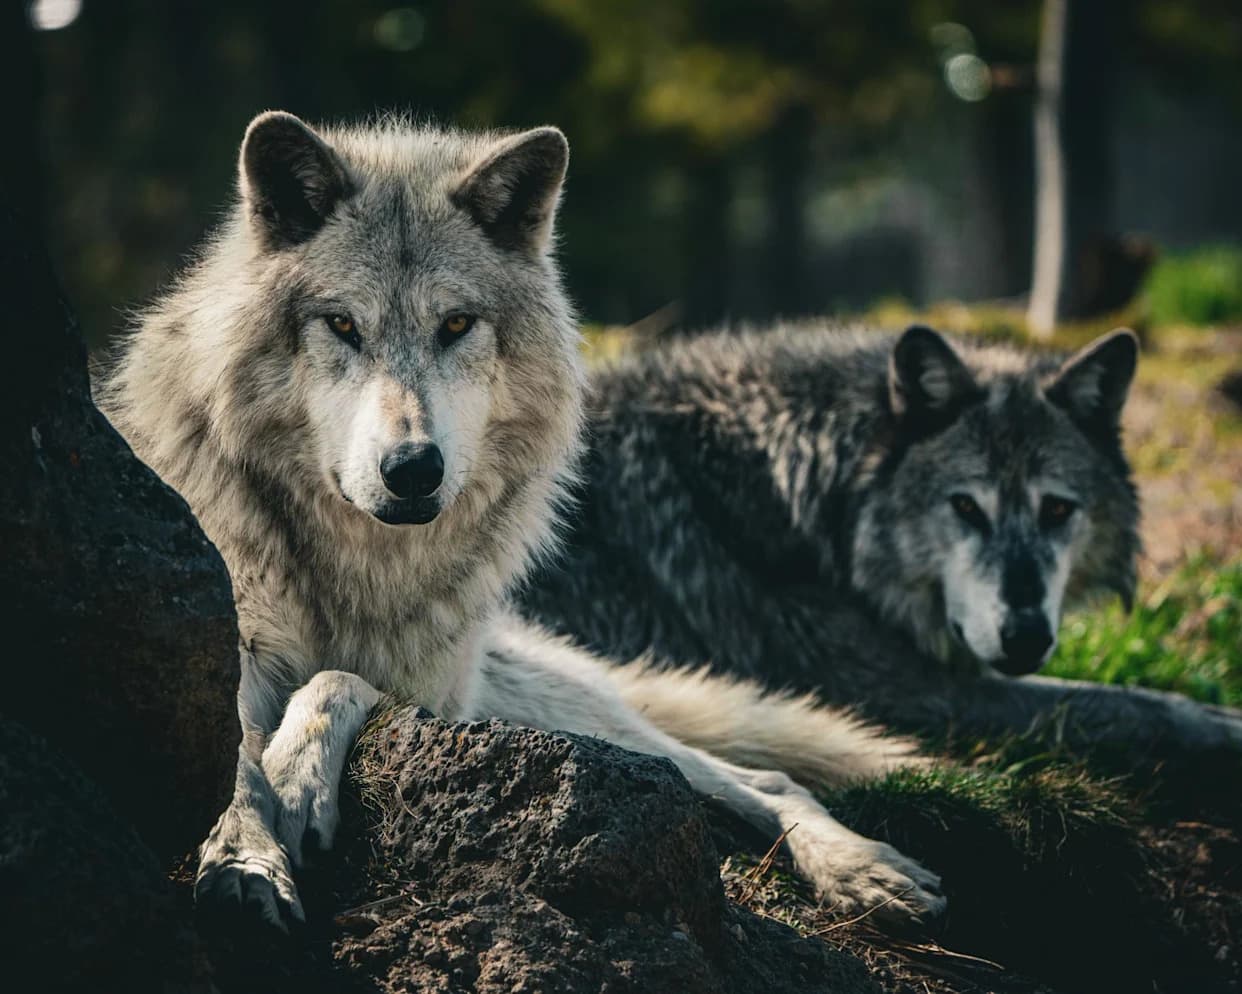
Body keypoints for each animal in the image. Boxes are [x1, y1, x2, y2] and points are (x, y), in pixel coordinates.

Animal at [98, 111, 946, 932]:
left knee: (764, 778)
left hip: (547, 710)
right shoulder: (225, 650)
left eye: (456, 325)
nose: (413, 468)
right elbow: (233, 763)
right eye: (341, 325)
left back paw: (867, 870)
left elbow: (338, 679)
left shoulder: (439, 694)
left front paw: (298, 778)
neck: (358, 568)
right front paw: (245, 861)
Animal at [518, 324, 1242, 758]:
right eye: (965, 507)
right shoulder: (918, 695)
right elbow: (1128, 704)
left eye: (1057, 510)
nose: (1026, 636)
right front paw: (1219, 724)